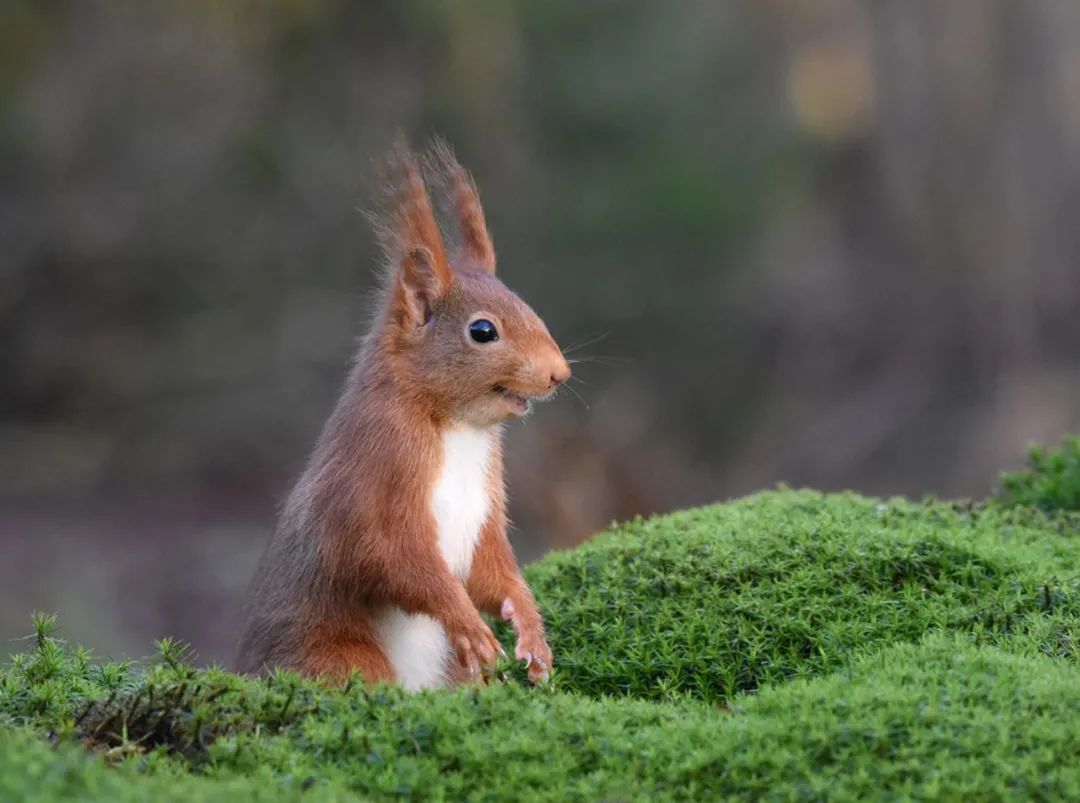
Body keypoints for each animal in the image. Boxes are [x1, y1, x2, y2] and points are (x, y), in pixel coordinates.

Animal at [237, 139, 570, 690]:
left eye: (528, 305)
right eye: (483, 331)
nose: (558, 374)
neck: (458, 428)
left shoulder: (484, 509)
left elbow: (494, 570)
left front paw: (531, 631)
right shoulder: (375, 474)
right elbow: (389, 556)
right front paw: (468, 624)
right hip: (340, 658)